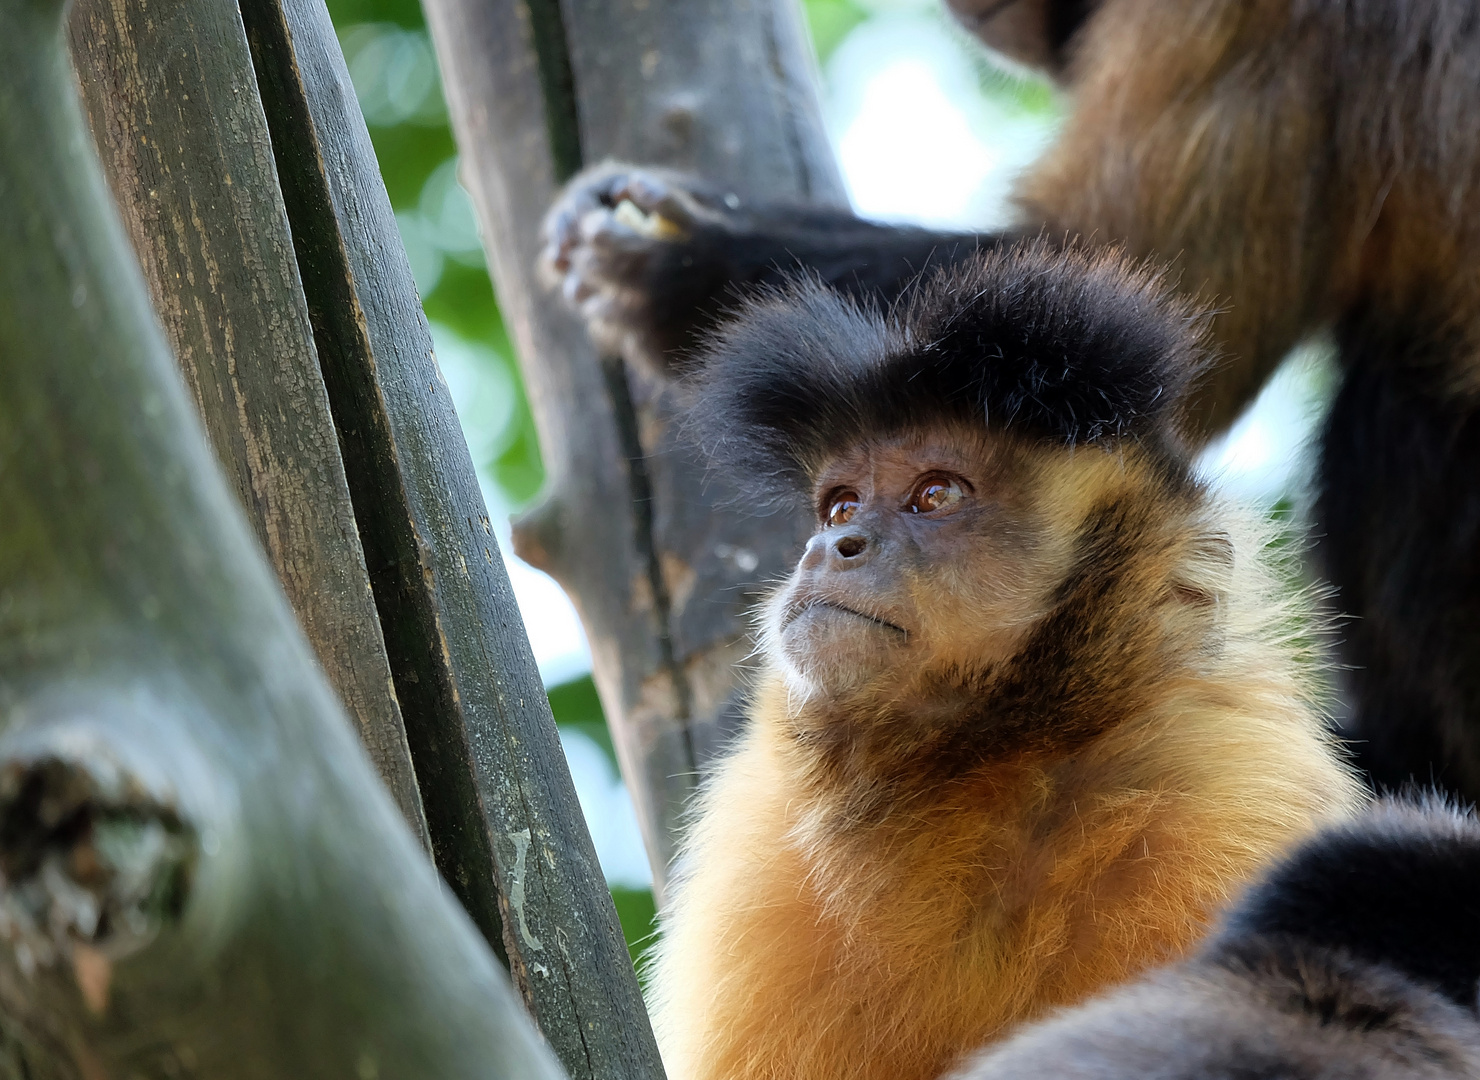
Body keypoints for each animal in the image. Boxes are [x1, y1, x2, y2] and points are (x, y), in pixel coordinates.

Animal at [648, 242, 1361, 1077]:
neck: (992, 769)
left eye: (935, 495)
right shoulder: (758, 835)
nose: (832, 546)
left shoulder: (1235, 792)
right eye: (842, 505)